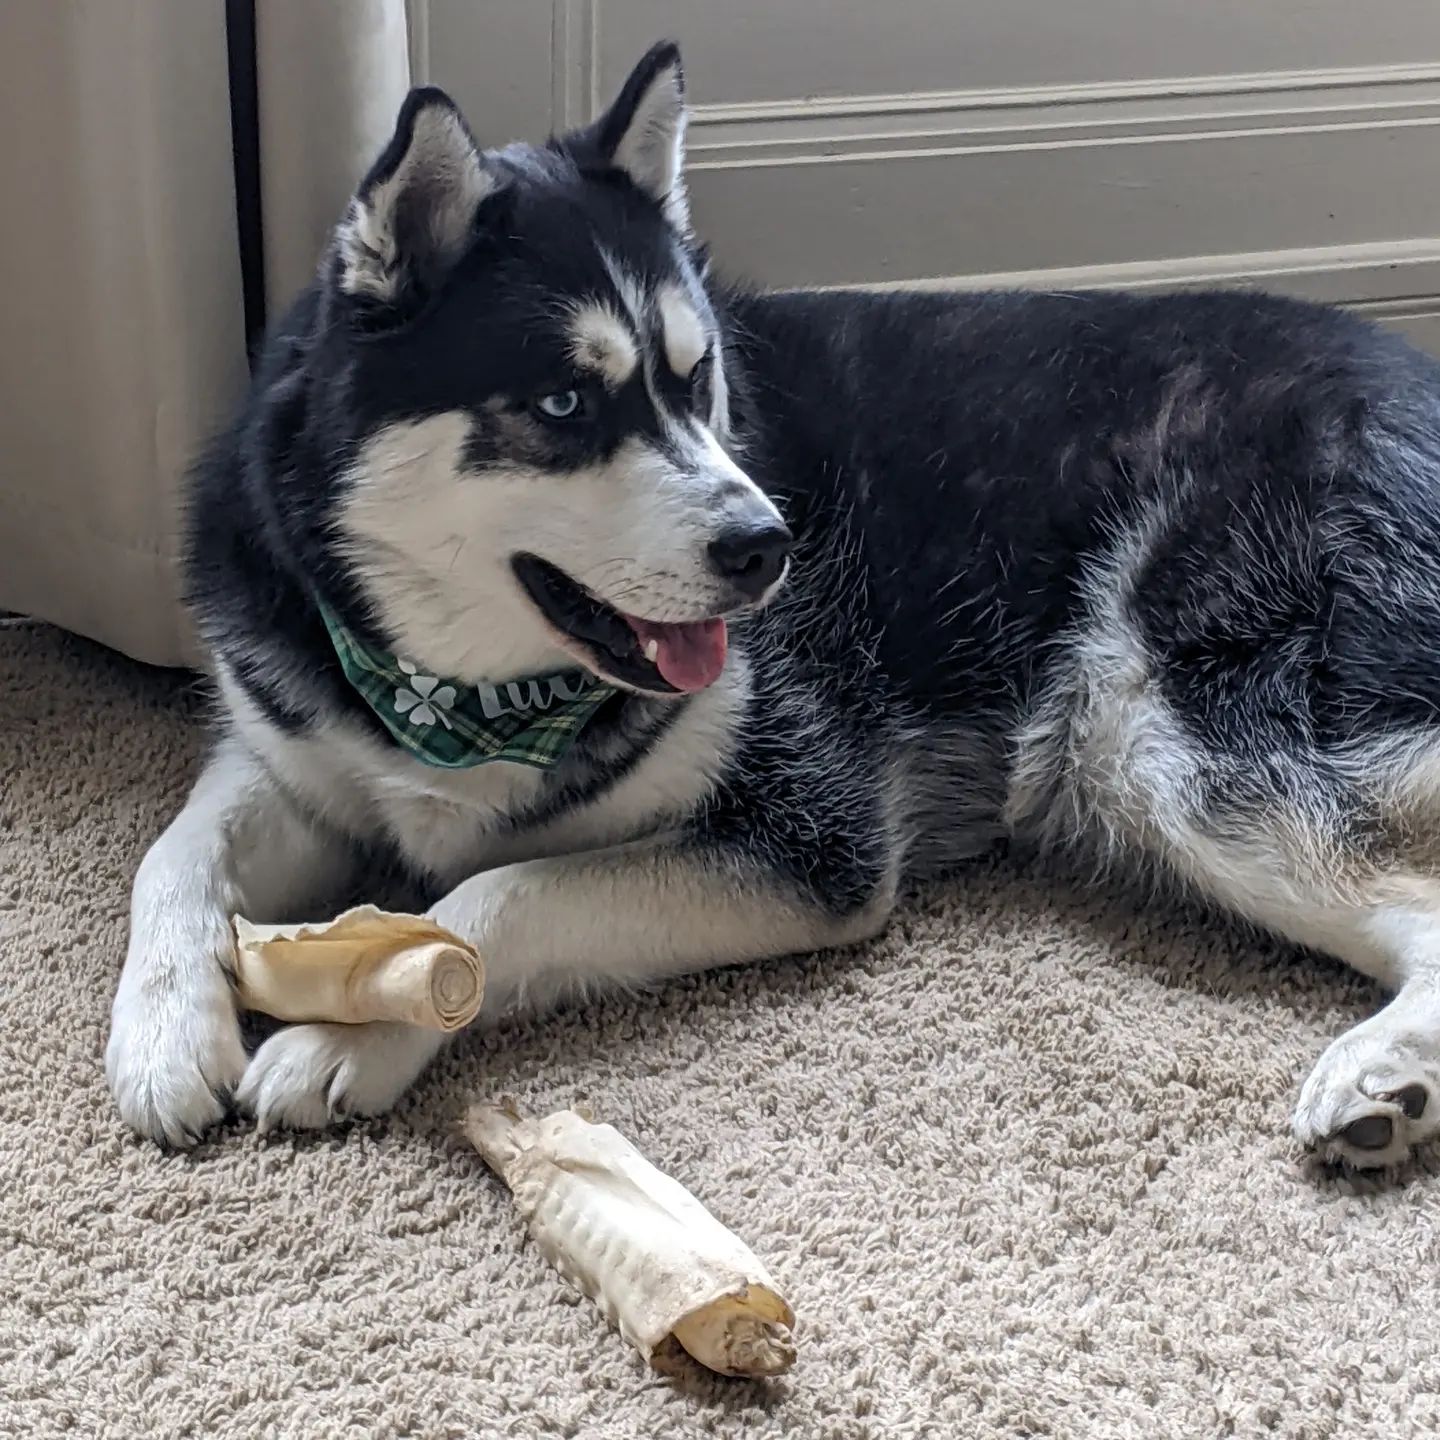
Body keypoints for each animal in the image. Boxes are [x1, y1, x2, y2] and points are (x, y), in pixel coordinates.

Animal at [106, 42, 1440, 1169]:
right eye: (563, 405)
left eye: (699, 381)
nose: (771, 548)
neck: (463, 691)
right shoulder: (295, 753)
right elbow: (172, 854)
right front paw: (165, 1028)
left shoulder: (816, 837)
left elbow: (493, 895)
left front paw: (348, 1034)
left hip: (1147, 727)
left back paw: (1382, 1076)